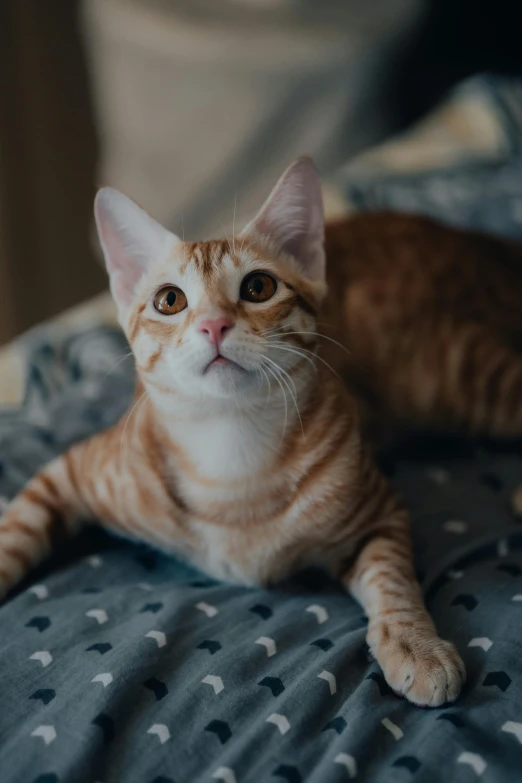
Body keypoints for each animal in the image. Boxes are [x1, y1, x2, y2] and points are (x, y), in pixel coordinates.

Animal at [0, 159, 468, 712]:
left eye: (258, 287)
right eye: (169, 300)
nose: (213, 324)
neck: (231, 455)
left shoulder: (379, 511)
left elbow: (393, 579)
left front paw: (417, 644)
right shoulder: (73, 469)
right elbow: (14, 530)